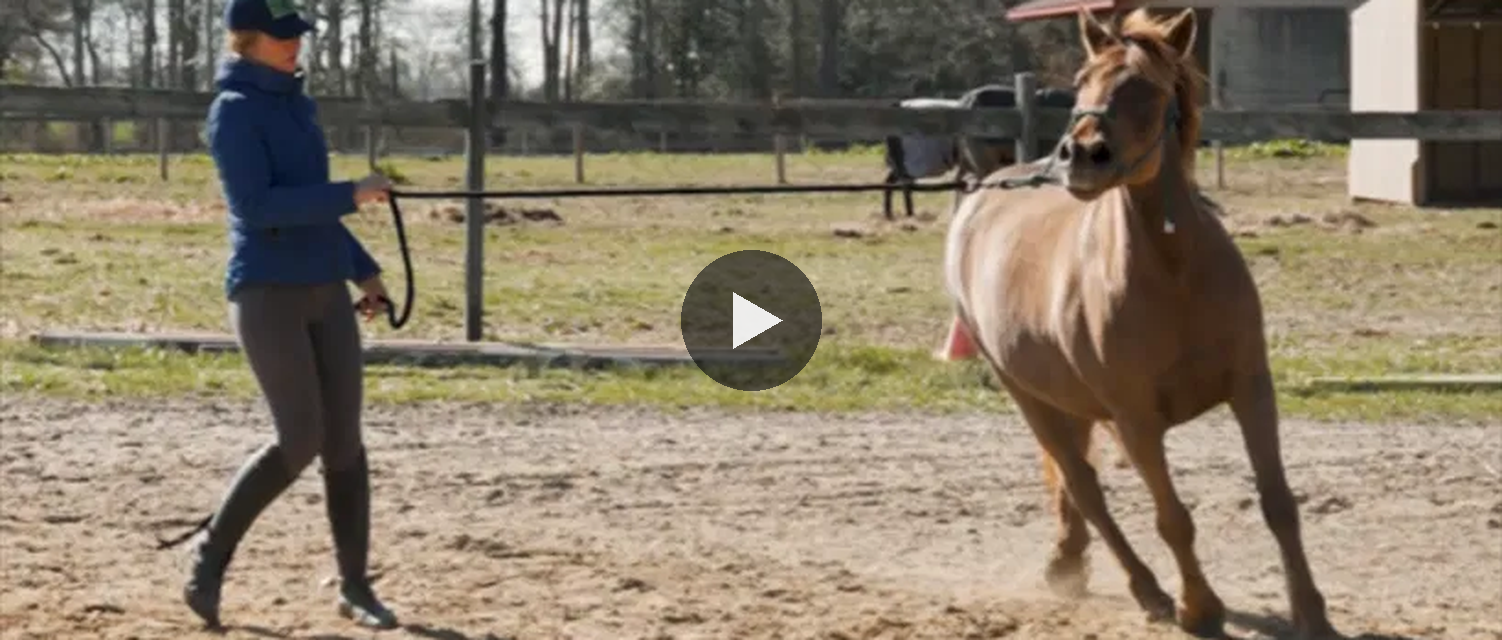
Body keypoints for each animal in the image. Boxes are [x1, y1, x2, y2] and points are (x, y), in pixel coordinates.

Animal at [938, 8, 1336, 639]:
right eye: (1083, 80)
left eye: (1147, 87)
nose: (1081, 155)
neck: (1174, 274)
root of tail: (982, 196)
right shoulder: (1136, 421)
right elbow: (1173, 518)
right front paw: (1200, 608)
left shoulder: (1252, 390)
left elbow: (1278, 502)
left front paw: (1311, 611)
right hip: (1025, 394)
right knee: (1085, 487)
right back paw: (1146, 589)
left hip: (1066, 399)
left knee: (1074, 486)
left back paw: (1068, 562)